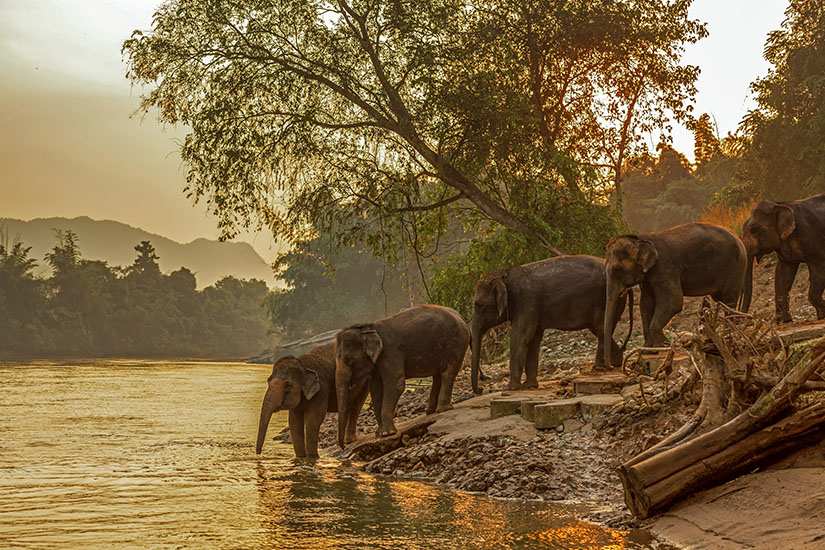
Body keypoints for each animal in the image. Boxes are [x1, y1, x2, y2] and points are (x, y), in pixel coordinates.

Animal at [332, 306, 466, 448]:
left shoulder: (391, 352)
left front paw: (387, 433)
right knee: (438, 375)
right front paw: (379, 433)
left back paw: (442, 410)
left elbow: (395, 384)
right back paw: (431, 411)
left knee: (447, 372)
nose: (344, 446)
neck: (369, 328)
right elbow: (376, 390)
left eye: (348, 360)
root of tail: (460, 316)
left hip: (455, 342)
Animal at [470, 256, 632, 394]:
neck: (505, 275)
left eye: (479, 305)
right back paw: (615, 362)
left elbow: (520, 337)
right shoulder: (531, 308)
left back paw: (598, 367)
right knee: (600, 329)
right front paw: (529, 386)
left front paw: (512, 388)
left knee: (600, 328)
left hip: (603, 299)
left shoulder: (527, 302)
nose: (481, 389)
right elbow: (533, 339)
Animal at [604, 220, 748, 354]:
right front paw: (647, 349)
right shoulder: (648, 277)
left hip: (735, 267)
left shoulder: (665, 268)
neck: (641, 238)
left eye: (617, 269)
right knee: (720, 298)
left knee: (729, 299)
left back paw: (728, 335)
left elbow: (673, 302)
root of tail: (739, 239)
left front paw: (664, 346)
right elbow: (645, 305)